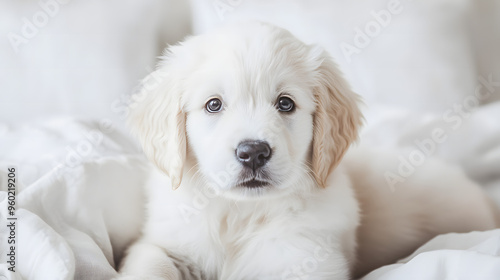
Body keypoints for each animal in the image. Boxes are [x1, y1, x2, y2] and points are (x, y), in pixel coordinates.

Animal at [119, 22, 498, 280]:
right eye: (214, 105)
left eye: (285, 104)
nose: (253, 152)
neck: (241, 215)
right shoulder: (166, 242)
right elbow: (150, 262)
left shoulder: (305, 259)